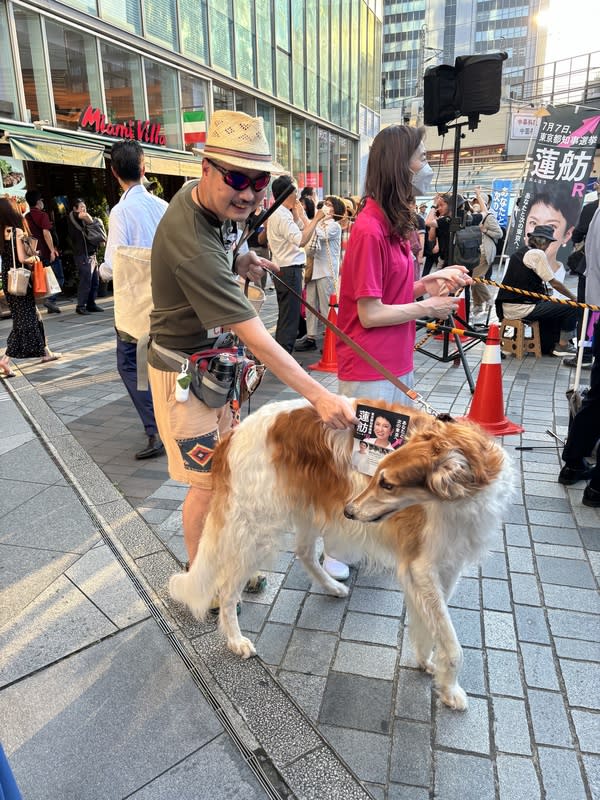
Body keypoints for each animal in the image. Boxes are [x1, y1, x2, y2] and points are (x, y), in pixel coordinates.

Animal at [169, 396, 510, 708]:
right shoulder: (421, 566)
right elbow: (453, 646)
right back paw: (236, 640)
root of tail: (234, 434)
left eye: (387, 484)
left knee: (304, 552)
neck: (461, 498)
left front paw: (427, 662)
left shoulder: (447, 565)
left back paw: (332, 587)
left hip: (304, 509)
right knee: (228, 589)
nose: (348, 511)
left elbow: (431, 626)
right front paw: (451, 691)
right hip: (258, 529)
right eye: (377, 476)